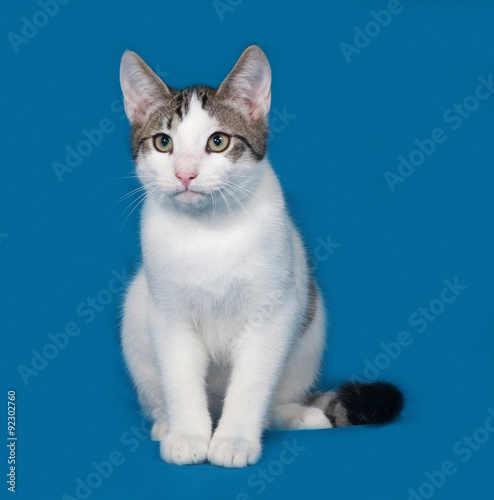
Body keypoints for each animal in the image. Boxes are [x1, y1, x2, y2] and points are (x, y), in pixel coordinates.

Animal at [120, 45, 406, 466]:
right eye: (163, 143)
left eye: (218, 141)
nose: (185, 174)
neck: (209, 232)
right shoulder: (169, 315)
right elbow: (179, 377)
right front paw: (188, 435)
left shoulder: (272, 312)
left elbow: (252, 382)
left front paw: (234, 440)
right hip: (136, 317)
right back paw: (165, 423)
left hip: (309, 329)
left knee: (275, 396)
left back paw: (296, 414)